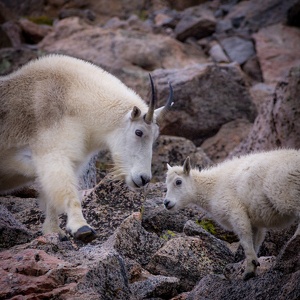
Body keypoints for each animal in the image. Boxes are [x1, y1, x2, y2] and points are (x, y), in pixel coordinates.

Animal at [0, 54, 173, 244]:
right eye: (139, 132)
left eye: (155, 136)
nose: (143, 179)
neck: (72, 100)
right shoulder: (52, 153)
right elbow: (66, 191)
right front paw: (82, 228)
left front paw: (54, 231)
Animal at [164, 151, 300, 280]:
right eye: (166, 185)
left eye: (178, 182)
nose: (166, 203)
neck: (211, 189)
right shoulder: (254, 222)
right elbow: (255, 242)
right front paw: (253, 266)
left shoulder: (235, 211)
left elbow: (245, 240)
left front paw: (249, 270)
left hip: (285, 194)